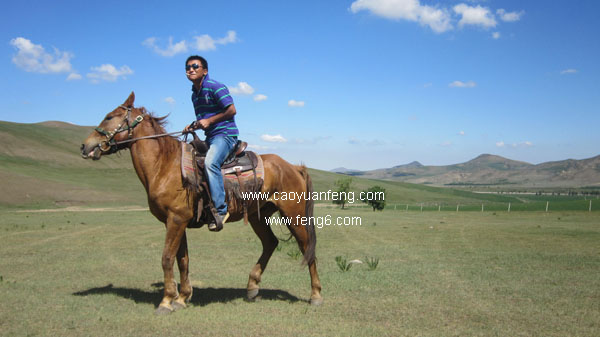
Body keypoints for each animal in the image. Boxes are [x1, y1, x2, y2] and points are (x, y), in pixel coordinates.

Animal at [83, 92, 324, 312]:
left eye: (109, 116)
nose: (85, 146)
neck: (165, 166)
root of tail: (294, 167)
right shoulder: (177, 221)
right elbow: (183, 260)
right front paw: (182, 298)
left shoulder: (176, 220)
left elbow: (167, 258)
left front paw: (167, 301)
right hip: (259, 216)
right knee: (270, 243)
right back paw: (252, 287)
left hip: (293, 215)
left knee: (306, 247)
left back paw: (315, 295)